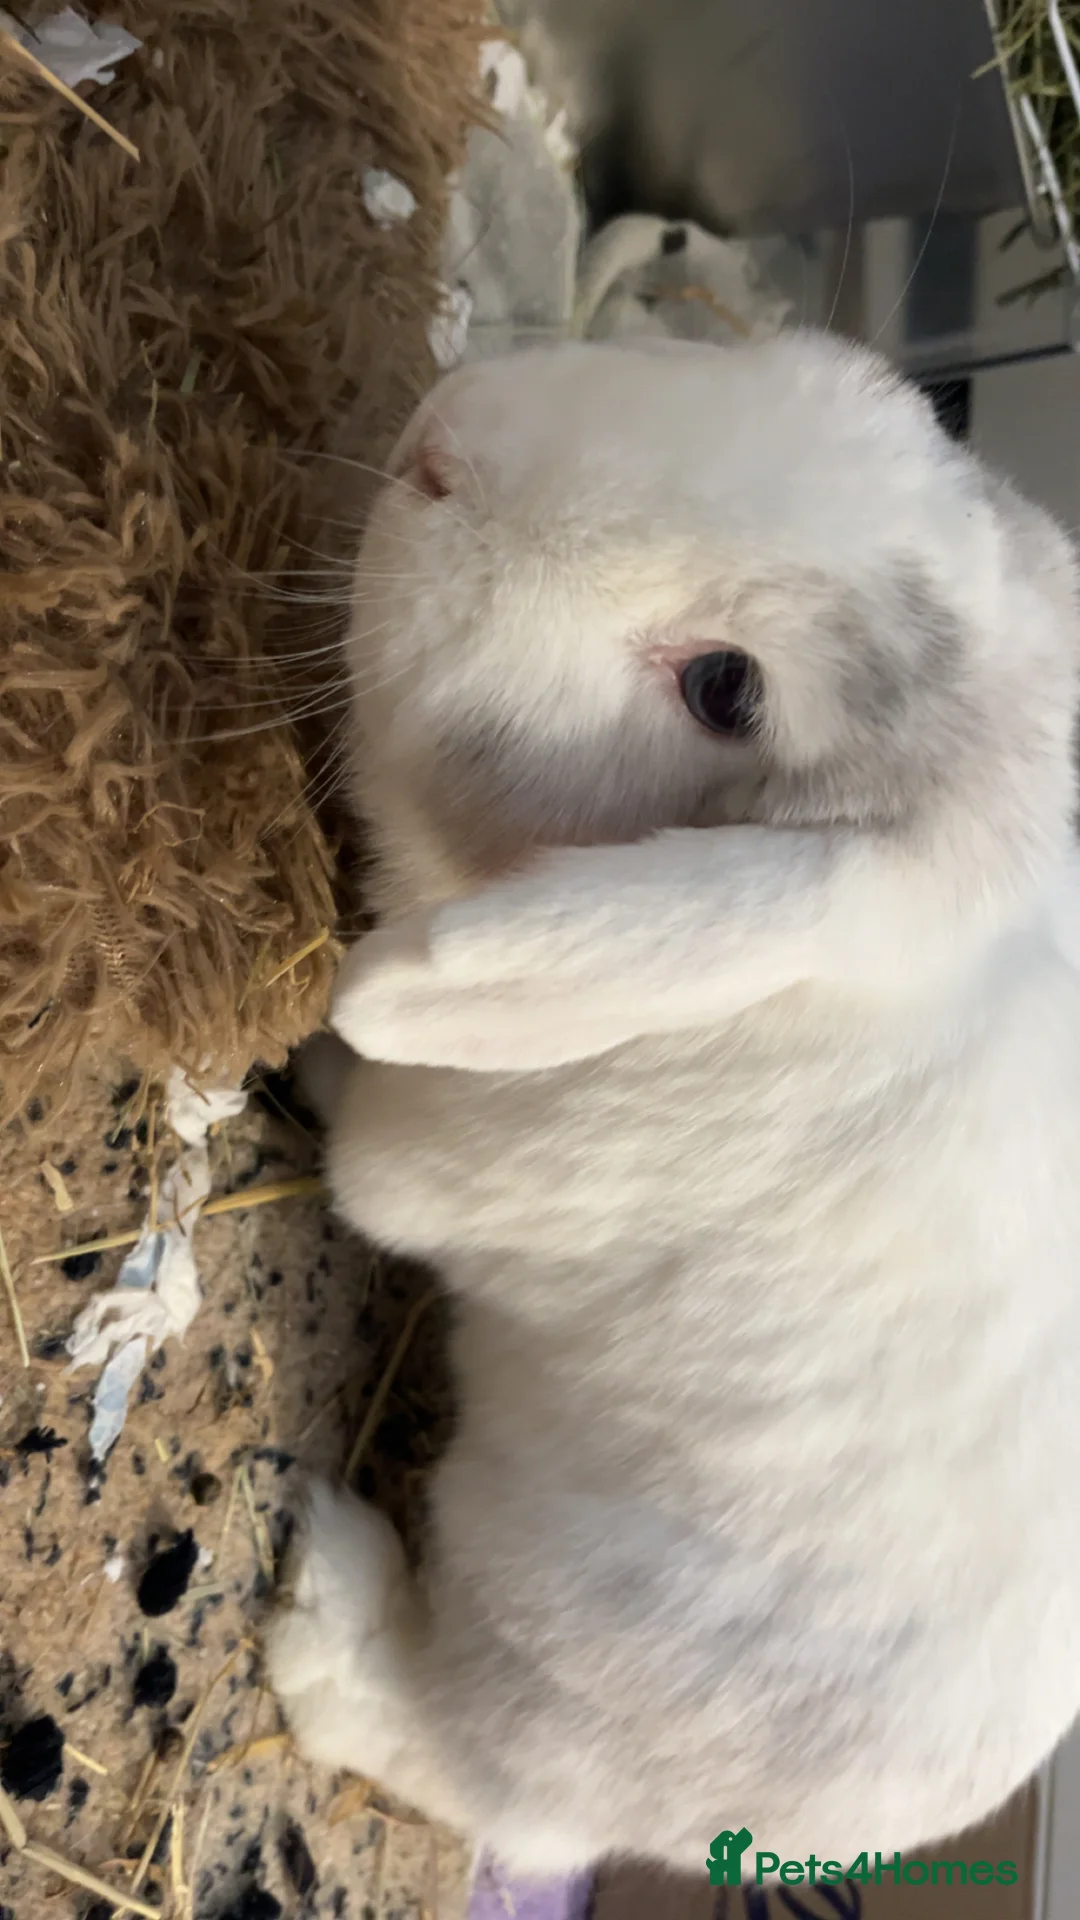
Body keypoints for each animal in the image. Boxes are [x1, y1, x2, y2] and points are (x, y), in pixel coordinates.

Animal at [267, 332, 1080, 1880]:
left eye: (724, 689)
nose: (440, 443)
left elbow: (371, 1148)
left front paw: (321, 1055)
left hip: (548, 1655)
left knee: (472, 1772)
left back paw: (327, 1606)